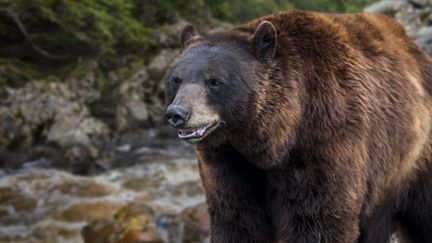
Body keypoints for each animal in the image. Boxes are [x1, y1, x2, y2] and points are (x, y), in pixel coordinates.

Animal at [165, 10, 432, 243]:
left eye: (214, 81)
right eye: (176, 79)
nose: (177, 113)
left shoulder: (325, 138)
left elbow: (319, 218)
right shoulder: (230, 164)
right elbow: (238, 219)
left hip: (412, 160)